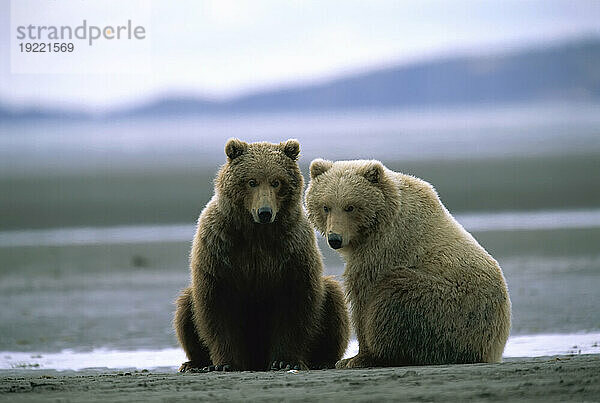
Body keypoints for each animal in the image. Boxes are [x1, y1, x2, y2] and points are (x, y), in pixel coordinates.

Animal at [173, 140, 350, 374]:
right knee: (185, 307)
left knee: (334, 300)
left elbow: (295, 305)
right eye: (251, 181)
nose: (265, 212)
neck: (257, 233)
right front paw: (226, 363)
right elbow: (216, 308)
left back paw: (323, 360)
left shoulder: (291, 251)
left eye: (276, 182)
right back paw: (195, 364)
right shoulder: (220, 249)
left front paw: (285, 361)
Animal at [304, 159, 510, 368]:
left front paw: (355, 358)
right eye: (326, 206)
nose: (334, 239)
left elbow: (363, 296)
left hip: (447, 307)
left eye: (350, 206)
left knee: (394, 297)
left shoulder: (382, 249)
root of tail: (495, 347)